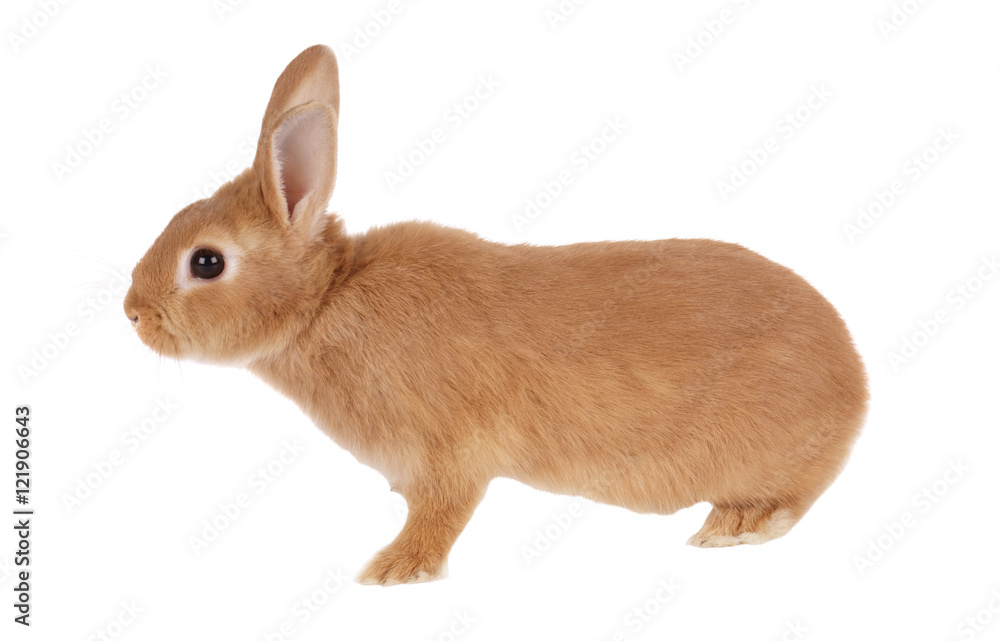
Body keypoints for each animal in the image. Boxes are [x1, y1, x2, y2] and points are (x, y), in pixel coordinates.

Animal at [124, 44, 869, 586]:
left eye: (207, 263)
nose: (132, 311)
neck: (326, 300)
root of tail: (856, 384)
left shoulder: (448, 454)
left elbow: (441, 515)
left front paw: (392, 572)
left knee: (794, 498)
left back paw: (733, 528)